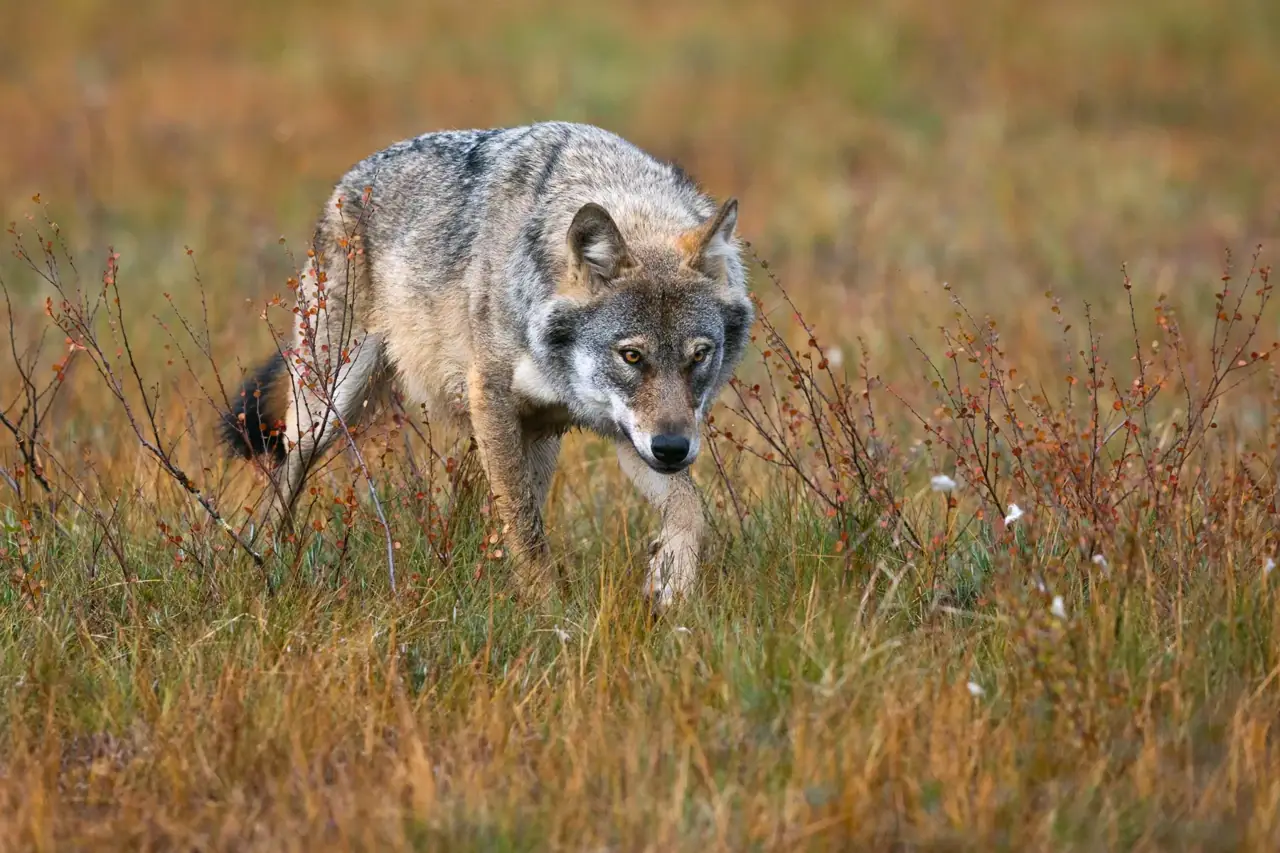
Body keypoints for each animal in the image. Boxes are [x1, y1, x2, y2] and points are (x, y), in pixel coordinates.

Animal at [218, 120, 754, 609]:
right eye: (631, 356)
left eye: (699, 355)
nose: (673, 450)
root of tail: (349, 180)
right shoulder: (492, 397)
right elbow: (524, 529)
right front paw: (548, 614)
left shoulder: (624, 431)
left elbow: (690, 511)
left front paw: (670, 585)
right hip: (327, 410)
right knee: (280, 483)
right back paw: (263, 565)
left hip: (538, 439)